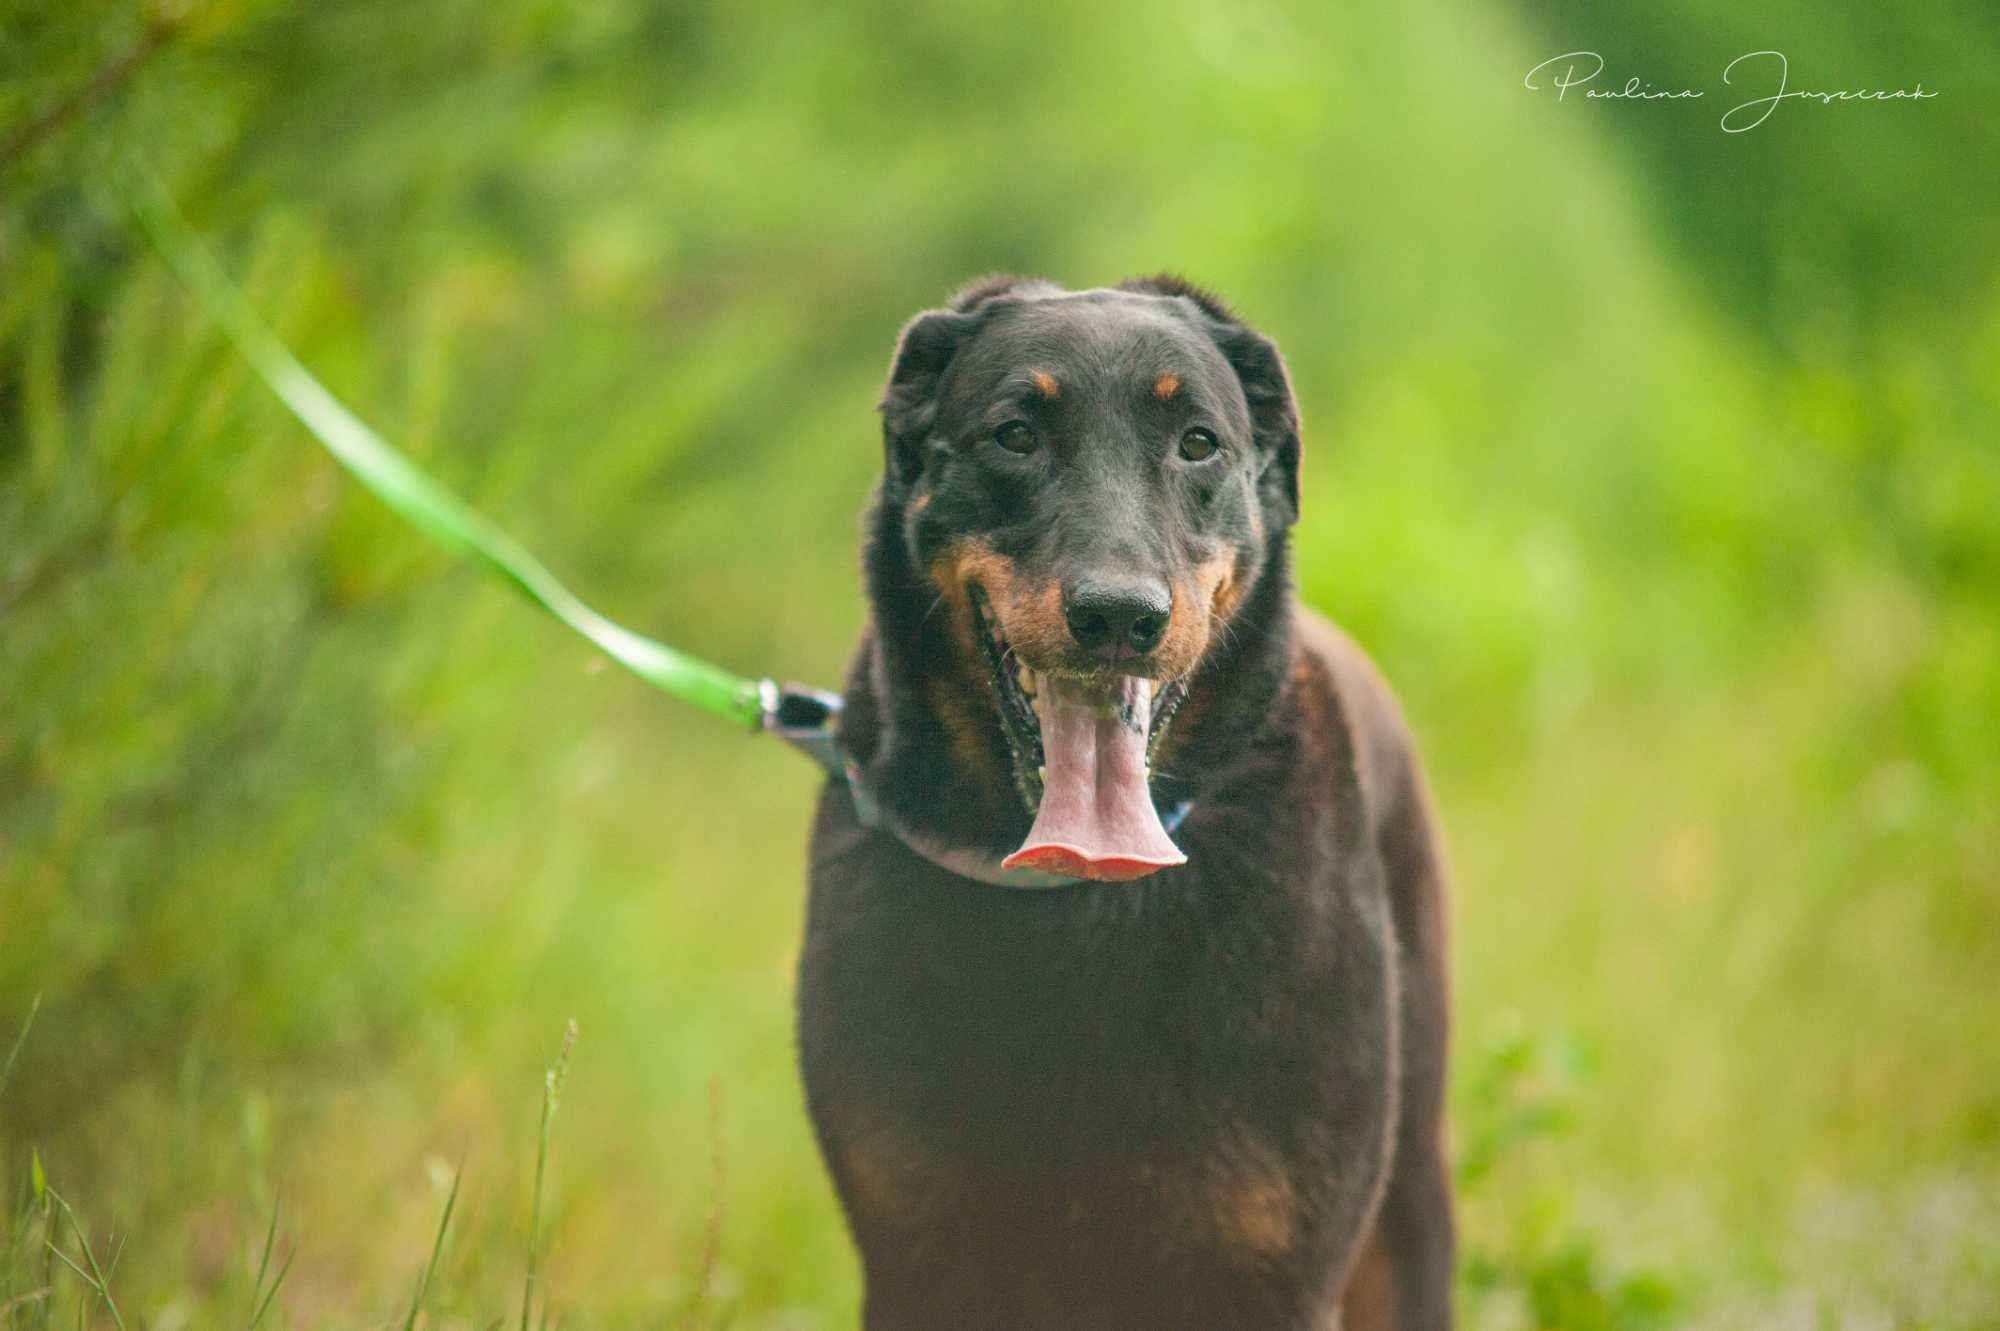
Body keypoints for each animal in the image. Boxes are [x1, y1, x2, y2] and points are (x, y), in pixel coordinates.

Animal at [796, 273, 1456, 1319]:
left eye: (1199, 442)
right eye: (1014, 433)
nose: (1118, 615)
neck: (1081, 903)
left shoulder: (1274, 1271)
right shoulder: (920, 1257)